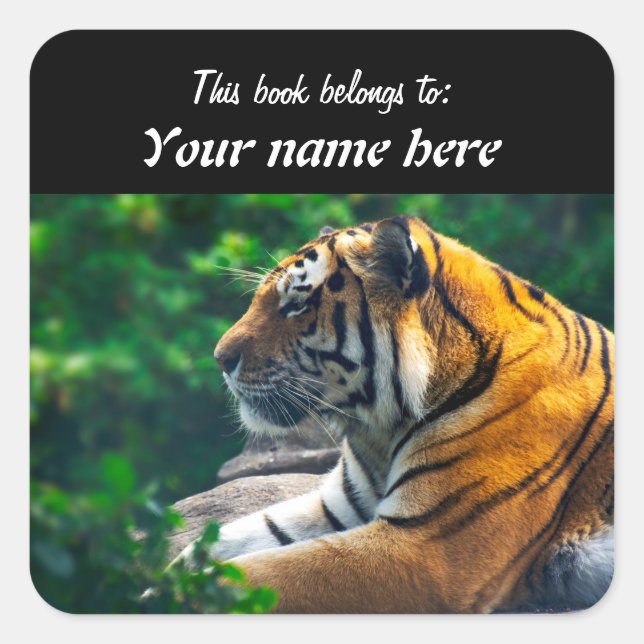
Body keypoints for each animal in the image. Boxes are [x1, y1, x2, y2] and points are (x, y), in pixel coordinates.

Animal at [177, 215, 614, 613]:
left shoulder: (430, 548)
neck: (377, 431)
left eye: (297, 305)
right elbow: (219, 544)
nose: (220, 359)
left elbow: (260, 575)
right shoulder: (337, 507)